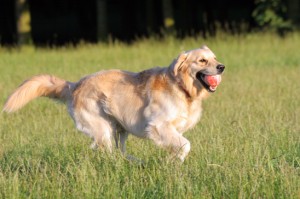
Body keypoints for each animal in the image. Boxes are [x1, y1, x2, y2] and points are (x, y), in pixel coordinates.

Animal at [2, 46, 224, 162]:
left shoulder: (173, 129)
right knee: (107, 153)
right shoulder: (159, 126)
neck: (182, 87)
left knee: (120, 152)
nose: (222, 67)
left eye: (214, 58)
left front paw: (172, 162)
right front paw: (175, 162)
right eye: (202, 61)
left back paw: (134, 162)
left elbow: (178, 146)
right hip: (102, 128)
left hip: (120, 128)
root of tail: (75, 85)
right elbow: (185, 144)